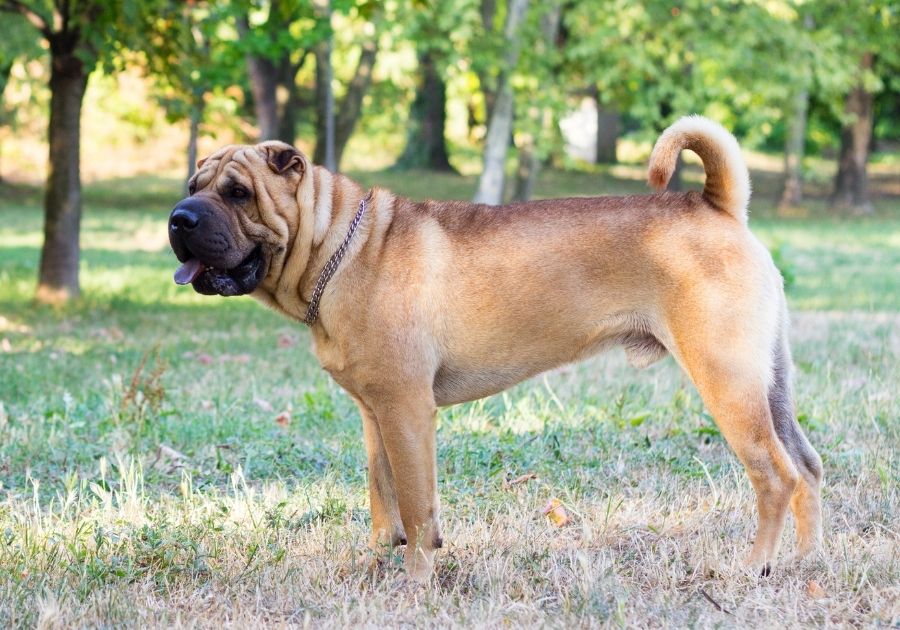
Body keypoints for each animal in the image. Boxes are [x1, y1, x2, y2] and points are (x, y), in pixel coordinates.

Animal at [169, 115, 824, 584]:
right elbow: (383, 494)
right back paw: (806, 563)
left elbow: (416, 503)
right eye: (194, 187)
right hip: (769, 385)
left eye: (238, 193)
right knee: (809, 469)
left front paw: (416, 583)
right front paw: (376, 561)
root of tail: (717, 203)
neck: (339, 248)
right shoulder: (375, 414)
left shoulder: (407, 411)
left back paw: (754, 568)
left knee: (775, 476)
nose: (179, 218)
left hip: (727, 381)